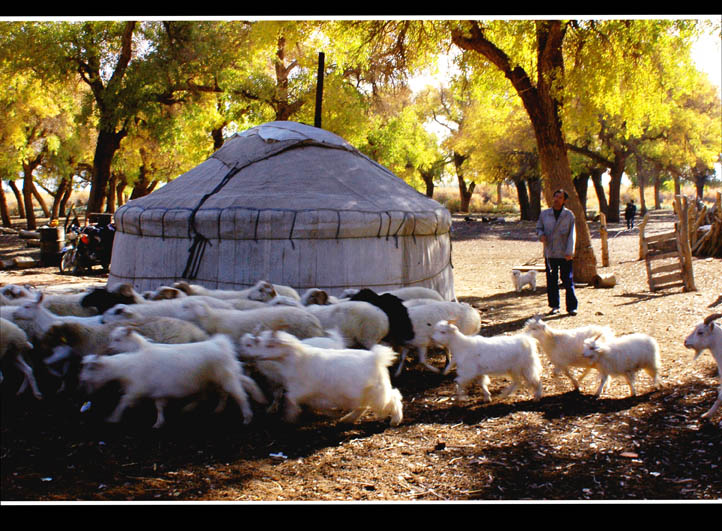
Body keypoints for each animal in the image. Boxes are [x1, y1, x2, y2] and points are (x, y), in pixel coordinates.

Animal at [79, 330, 264, 430]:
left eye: (90, 368)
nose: (80, 379)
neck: (128, 365)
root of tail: (220, 344)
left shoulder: (137, 389)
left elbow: (123, 402)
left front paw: (113, 418)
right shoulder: (158, 391)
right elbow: (159, 407)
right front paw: (159, 423)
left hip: (226, 377)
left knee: (239, 395)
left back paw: (247, 416)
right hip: (219, 378)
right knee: (230, 390)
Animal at [240, 330, 400, 426]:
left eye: (270, 345)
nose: (258, 355)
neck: (297, 360)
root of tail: (376, 358)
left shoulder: (301, 390)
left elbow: (289, 399)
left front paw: (289, 418)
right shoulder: (313, 394)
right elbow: (316, 405)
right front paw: (332, 414)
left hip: (375, 393)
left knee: (392, 398)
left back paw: (395, 419)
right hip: (365, 393)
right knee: (367, 405)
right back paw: (348, 418)